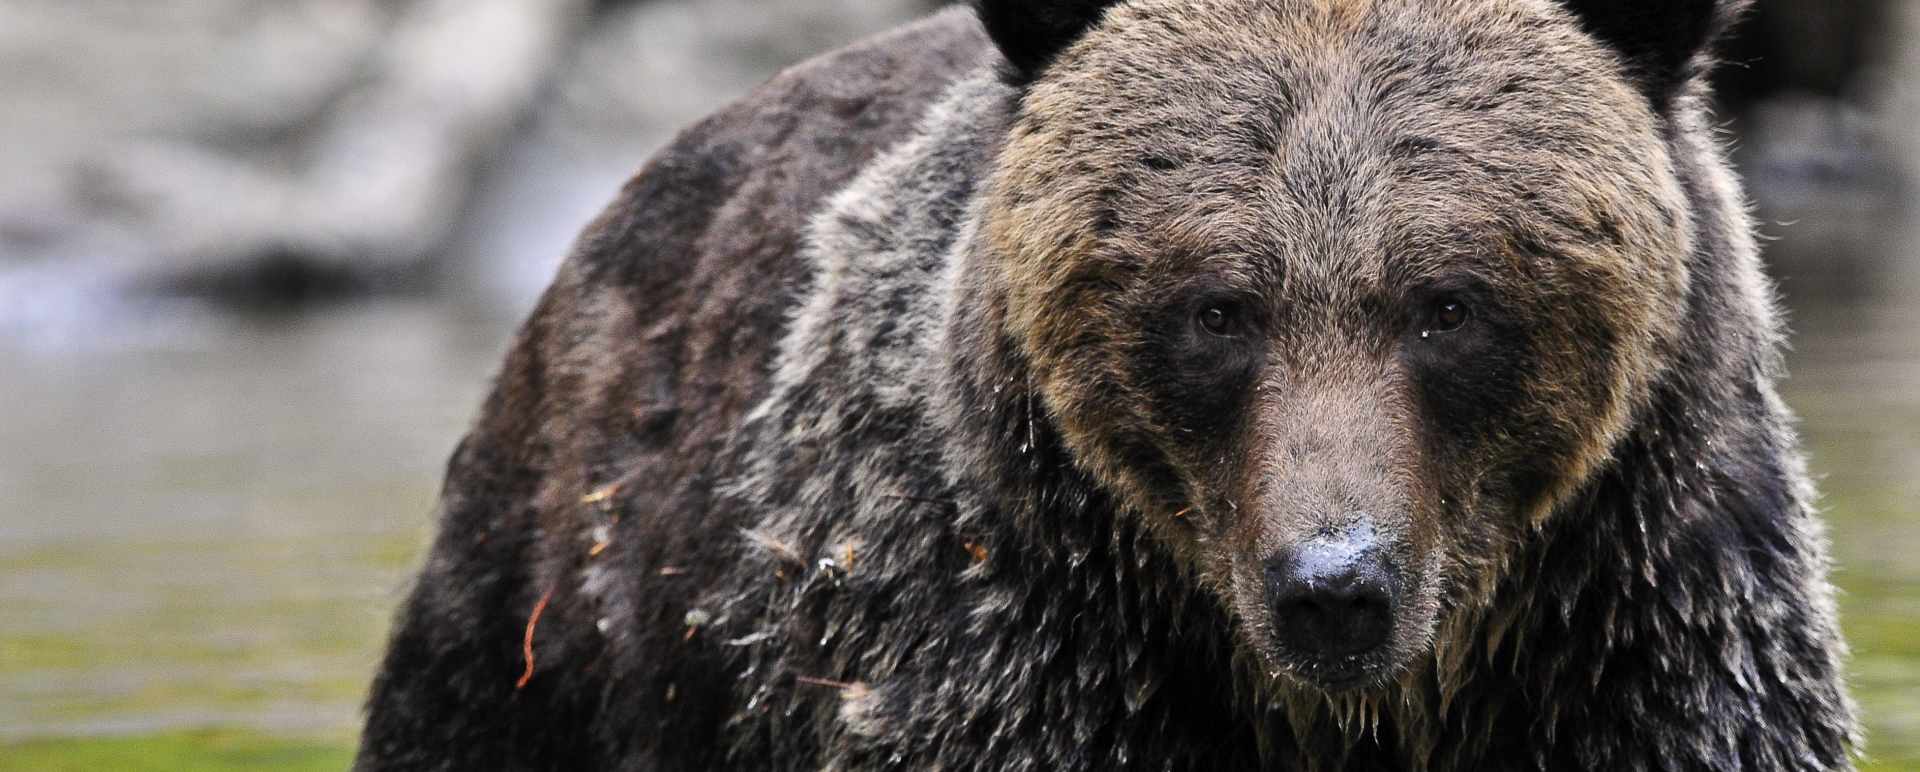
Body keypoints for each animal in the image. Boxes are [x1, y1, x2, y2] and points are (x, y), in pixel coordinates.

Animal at [356, 1, 1860, 769]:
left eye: (1449, 301)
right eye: (1216, 307)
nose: (1334, 584)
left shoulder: (1640, 634)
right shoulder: (1014, 643)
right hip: (576, 629)